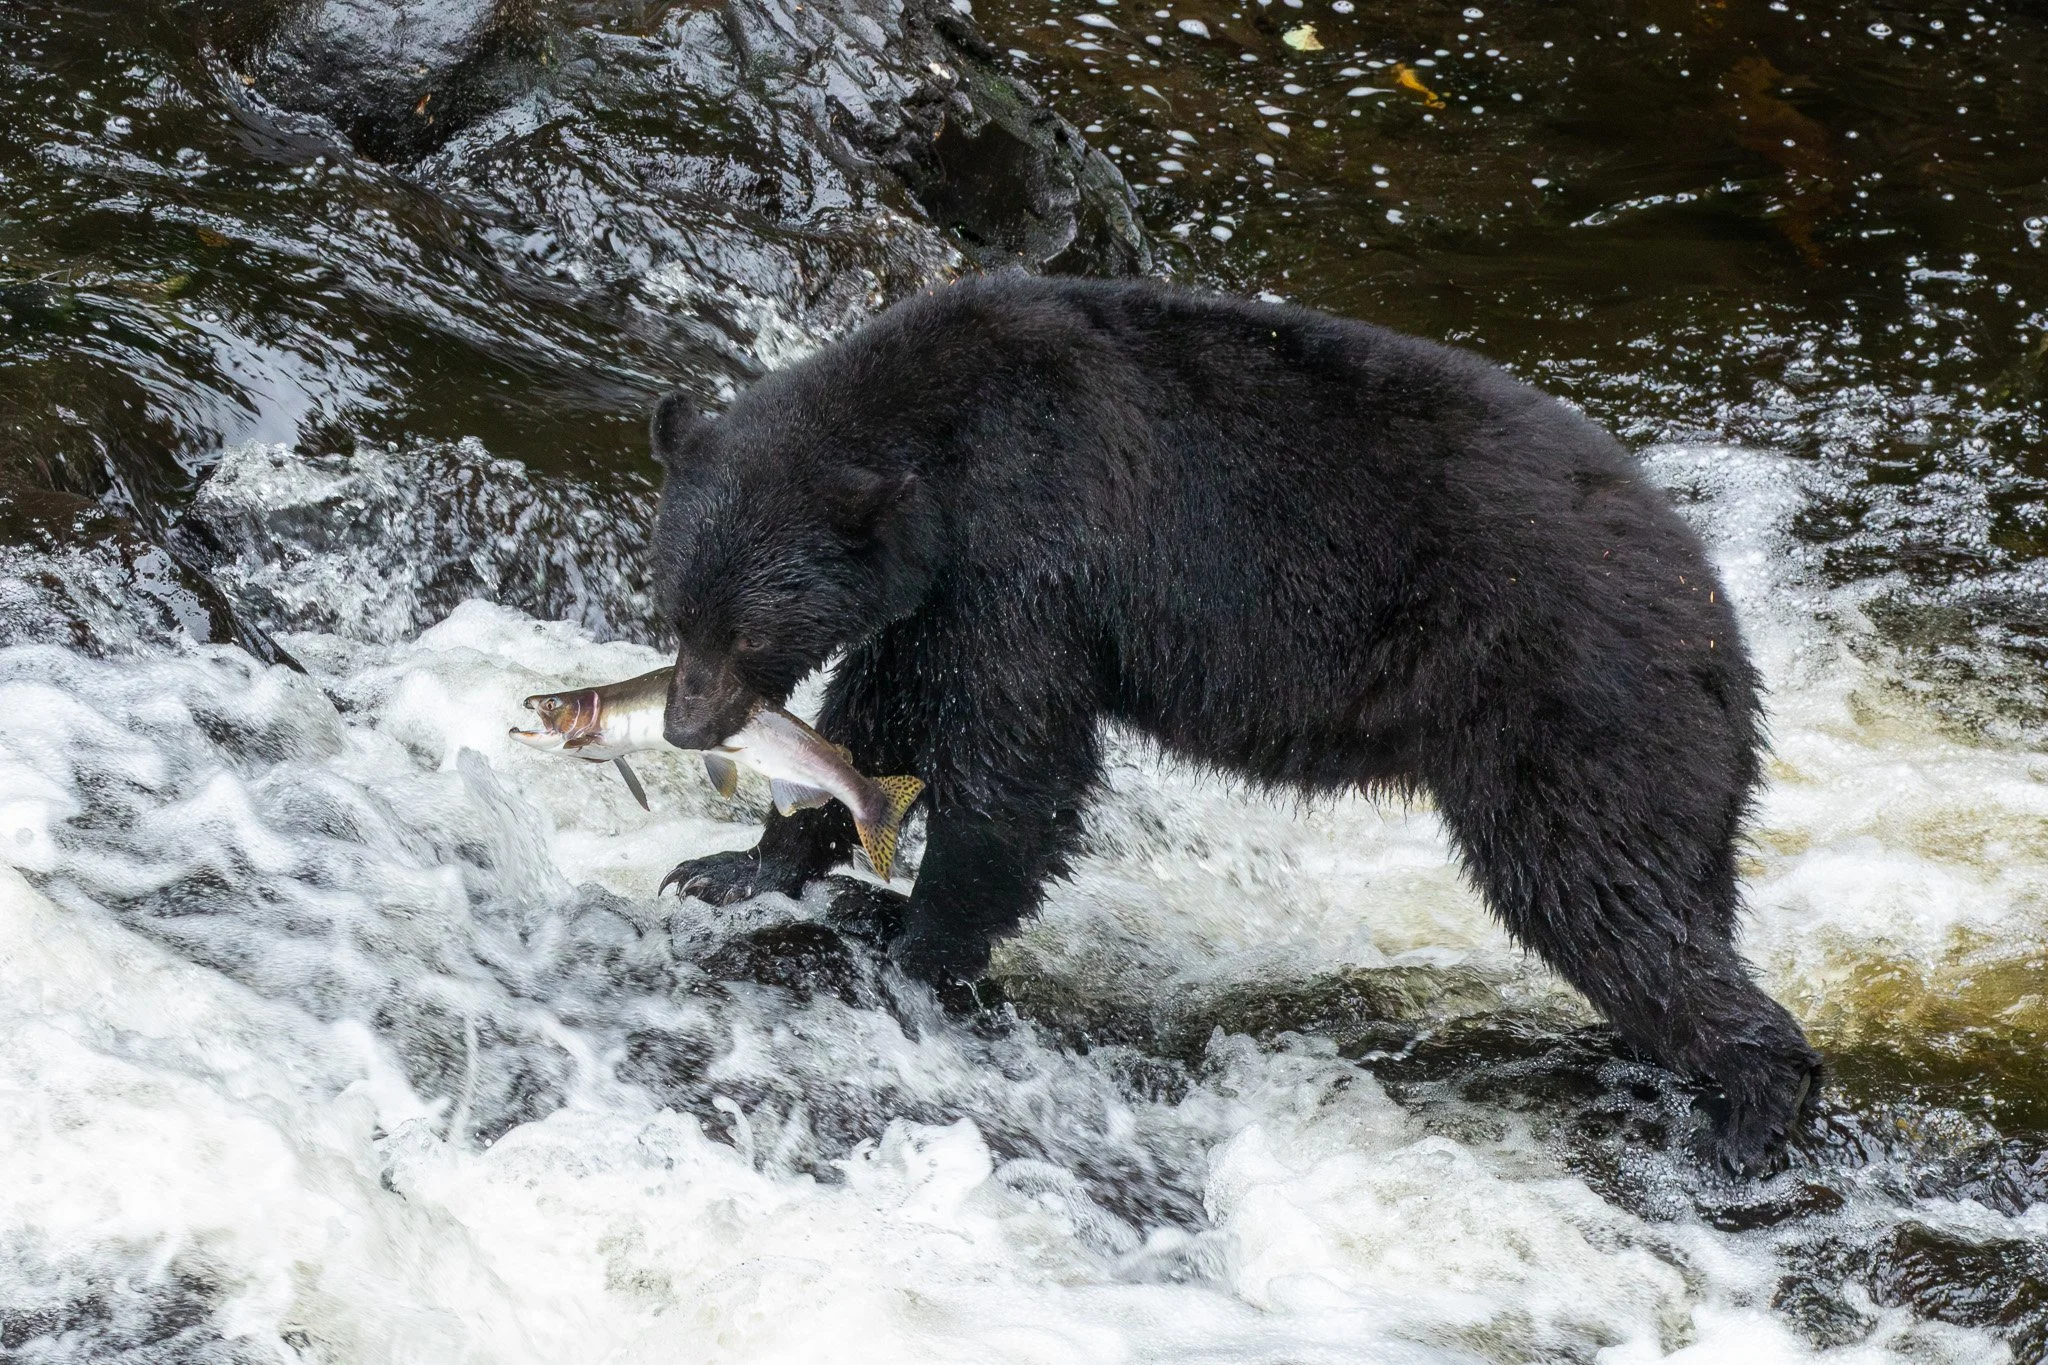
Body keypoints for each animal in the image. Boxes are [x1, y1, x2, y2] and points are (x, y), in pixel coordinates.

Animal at [648, 273, 1821, 1172]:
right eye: (675, 607)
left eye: (745, 630)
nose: (683, 726)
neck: (935, 458)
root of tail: (1716, 616)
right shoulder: (937, 597)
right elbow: (881, 717)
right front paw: (736, 866)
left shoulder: (1031, 552)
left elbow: (1016, 764)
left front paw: (916, 942)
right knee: (1674, 894)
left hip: (1570, 709)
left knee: (1598, 892)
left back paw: (1753, 1107)